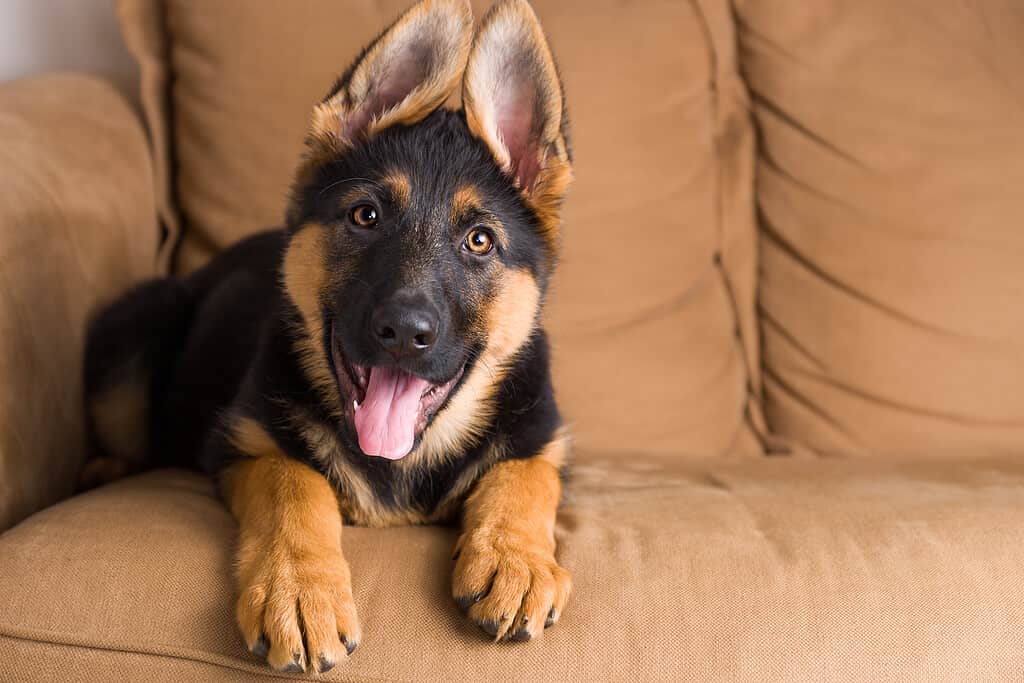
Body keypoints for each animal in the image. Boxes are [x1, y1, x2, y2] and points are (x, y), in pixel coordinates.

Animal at [78, 0, 573, 675]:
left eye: (480, 241)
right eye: (366, 216)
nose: (404, 333)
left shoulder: (542, 438)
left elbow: (524, 476)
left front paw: (515, 561)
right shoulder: (246, 443)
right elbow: (296, 485)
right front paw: (298, 591)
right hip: (137, 326)